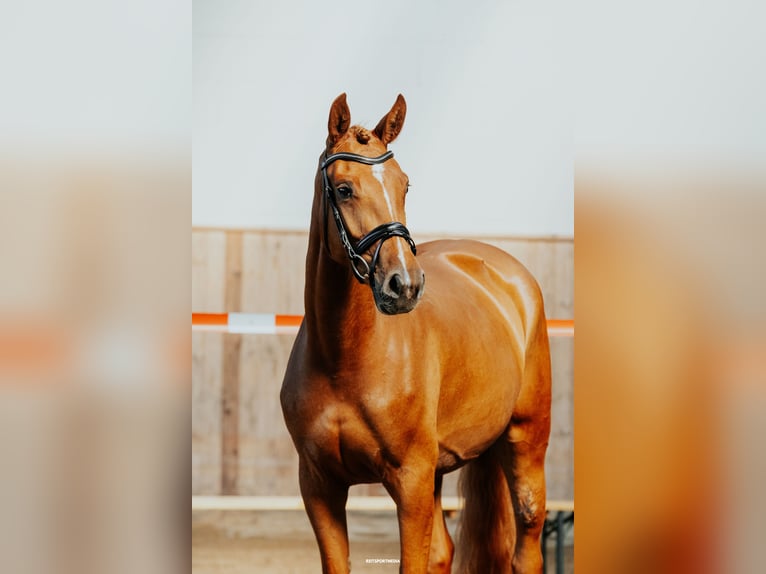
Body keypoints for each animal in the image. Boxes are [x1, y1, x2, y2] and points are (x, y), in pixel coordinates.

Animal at [280, 93, 551, 573]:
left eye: (404, 185)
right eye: (344, 189)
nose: (403, 285)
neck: (343, 359)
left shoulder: (410, 482)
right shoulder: (319, 486)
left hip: (525, 443)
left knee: (527, 545)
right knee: (444, 552)